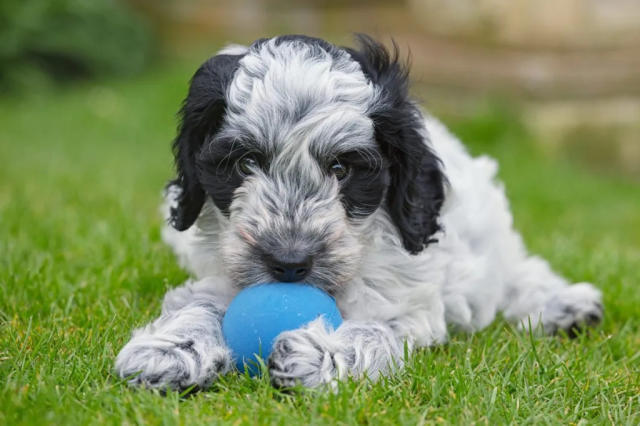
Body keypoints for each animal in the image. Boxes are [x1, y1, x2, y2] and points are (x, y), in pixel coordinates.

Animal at [116, 35, 604, 392]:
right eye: (246, 163)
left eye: (341, 168)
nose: (289, 263)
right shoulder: (222, 267)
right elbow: (199, 301)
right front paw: (171, 349)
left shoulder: (408, 299)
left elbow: (375, 328)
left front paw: (318, 354)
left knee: (516, 272)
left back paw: (566, 305)